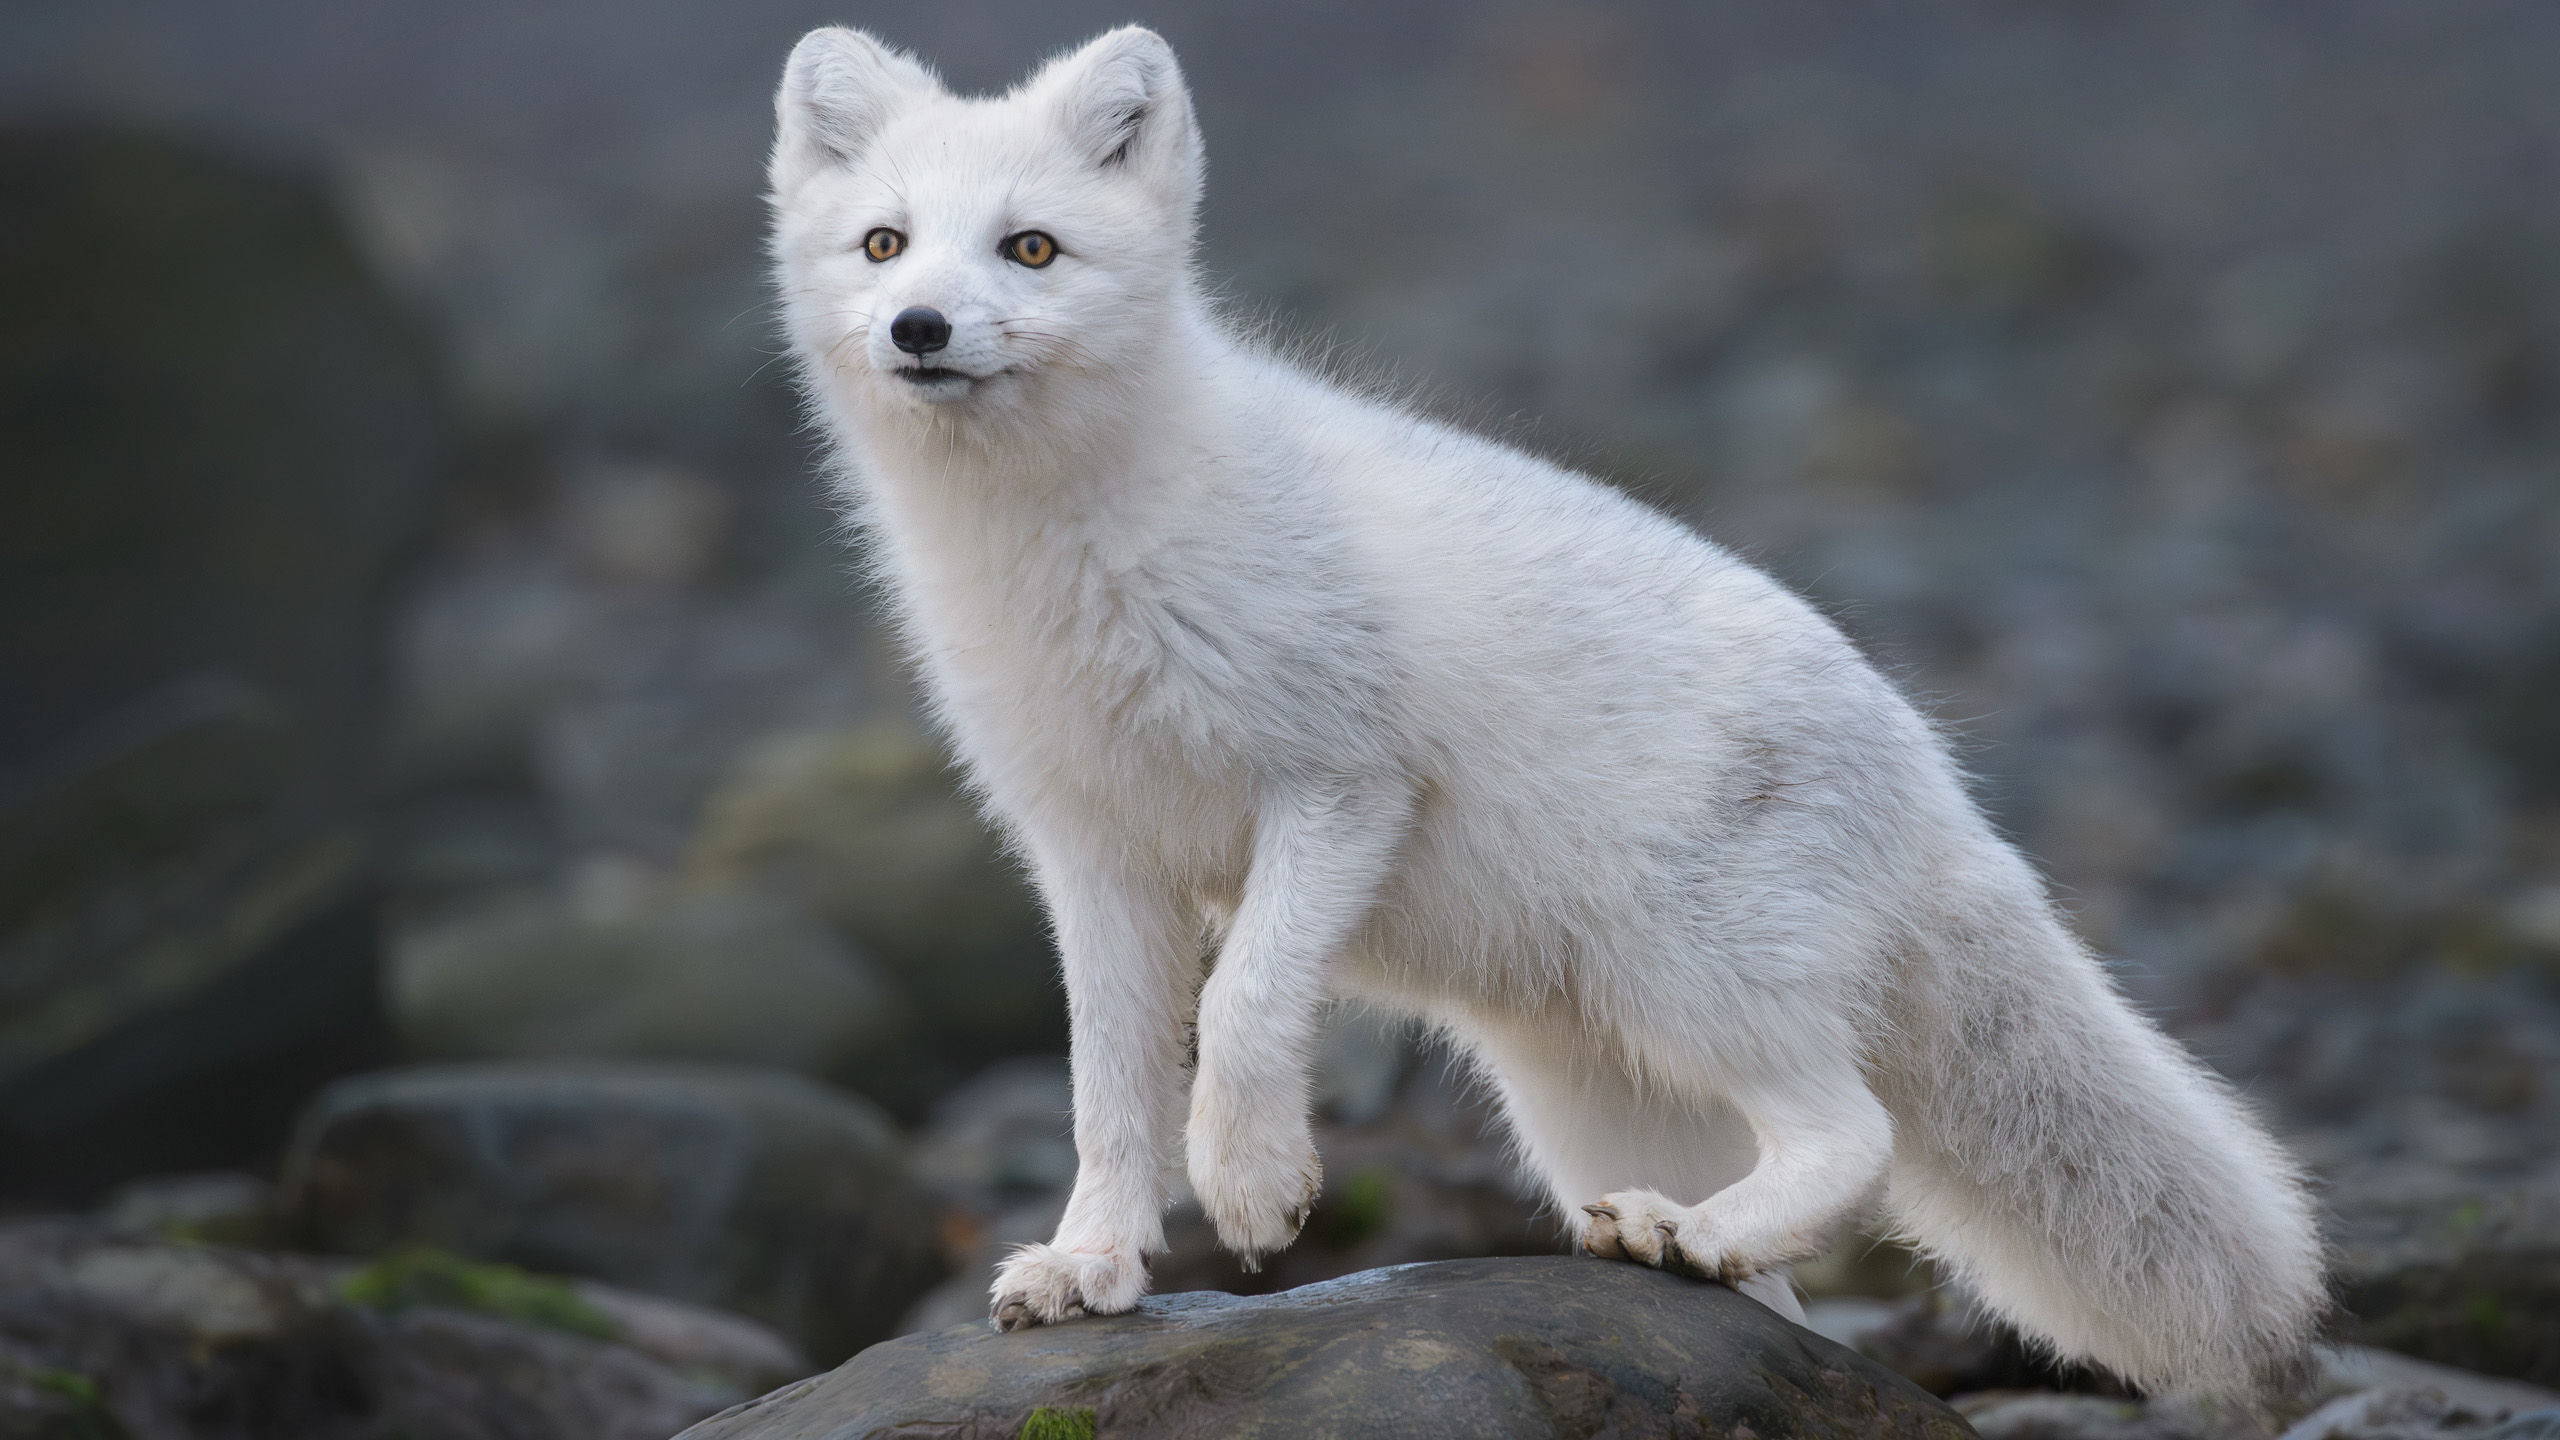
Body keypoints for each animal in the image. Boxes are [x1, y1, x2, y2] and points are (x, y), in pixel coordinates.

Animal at [768, 25, 2334, 1393]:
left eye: (1030, 247)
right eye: (885, 244)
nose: (919, 325)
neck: (1068, 554)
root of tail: (1938, 795)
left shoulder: (1341, 777)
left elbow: (1252, 996)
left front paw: (1254, 1183)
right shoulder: (1091, 856)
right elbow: (1106, 1090)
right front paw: (1093, 1265)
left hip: (1691, 973)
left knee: (1859, 1137)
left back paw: (1694, 1232)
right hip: (1585, 1091)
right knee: (1786, 1295)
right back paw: (1689, 1259)